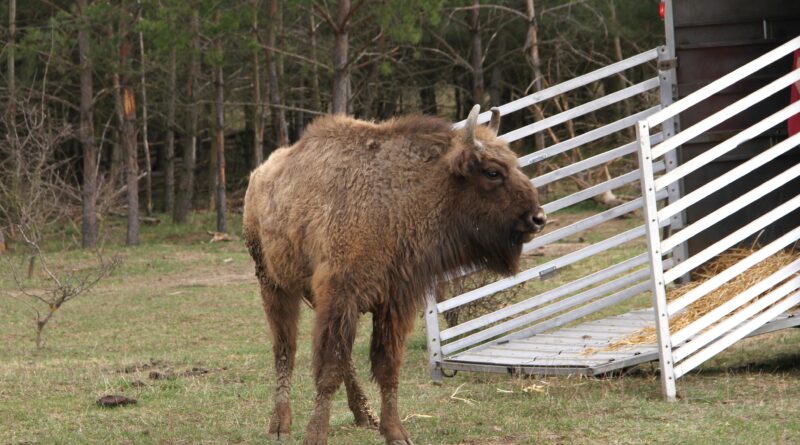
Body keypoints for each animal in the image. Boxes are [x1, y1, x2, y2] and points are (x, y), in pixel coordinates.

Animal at [241, 106, 548, 442]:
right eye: (492, 172)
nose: (538, 218)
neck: (396, 198)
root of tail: (259, 175)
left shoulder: (392, 303)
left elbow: (386, 367)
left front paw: (395, 431)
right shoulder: (340, 297)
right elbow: (329, 369)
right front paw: (315, 435)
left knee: (340, 358)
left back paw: (364, 414)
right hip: (274, 285)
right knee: (285, 350)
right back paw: (280, 425)